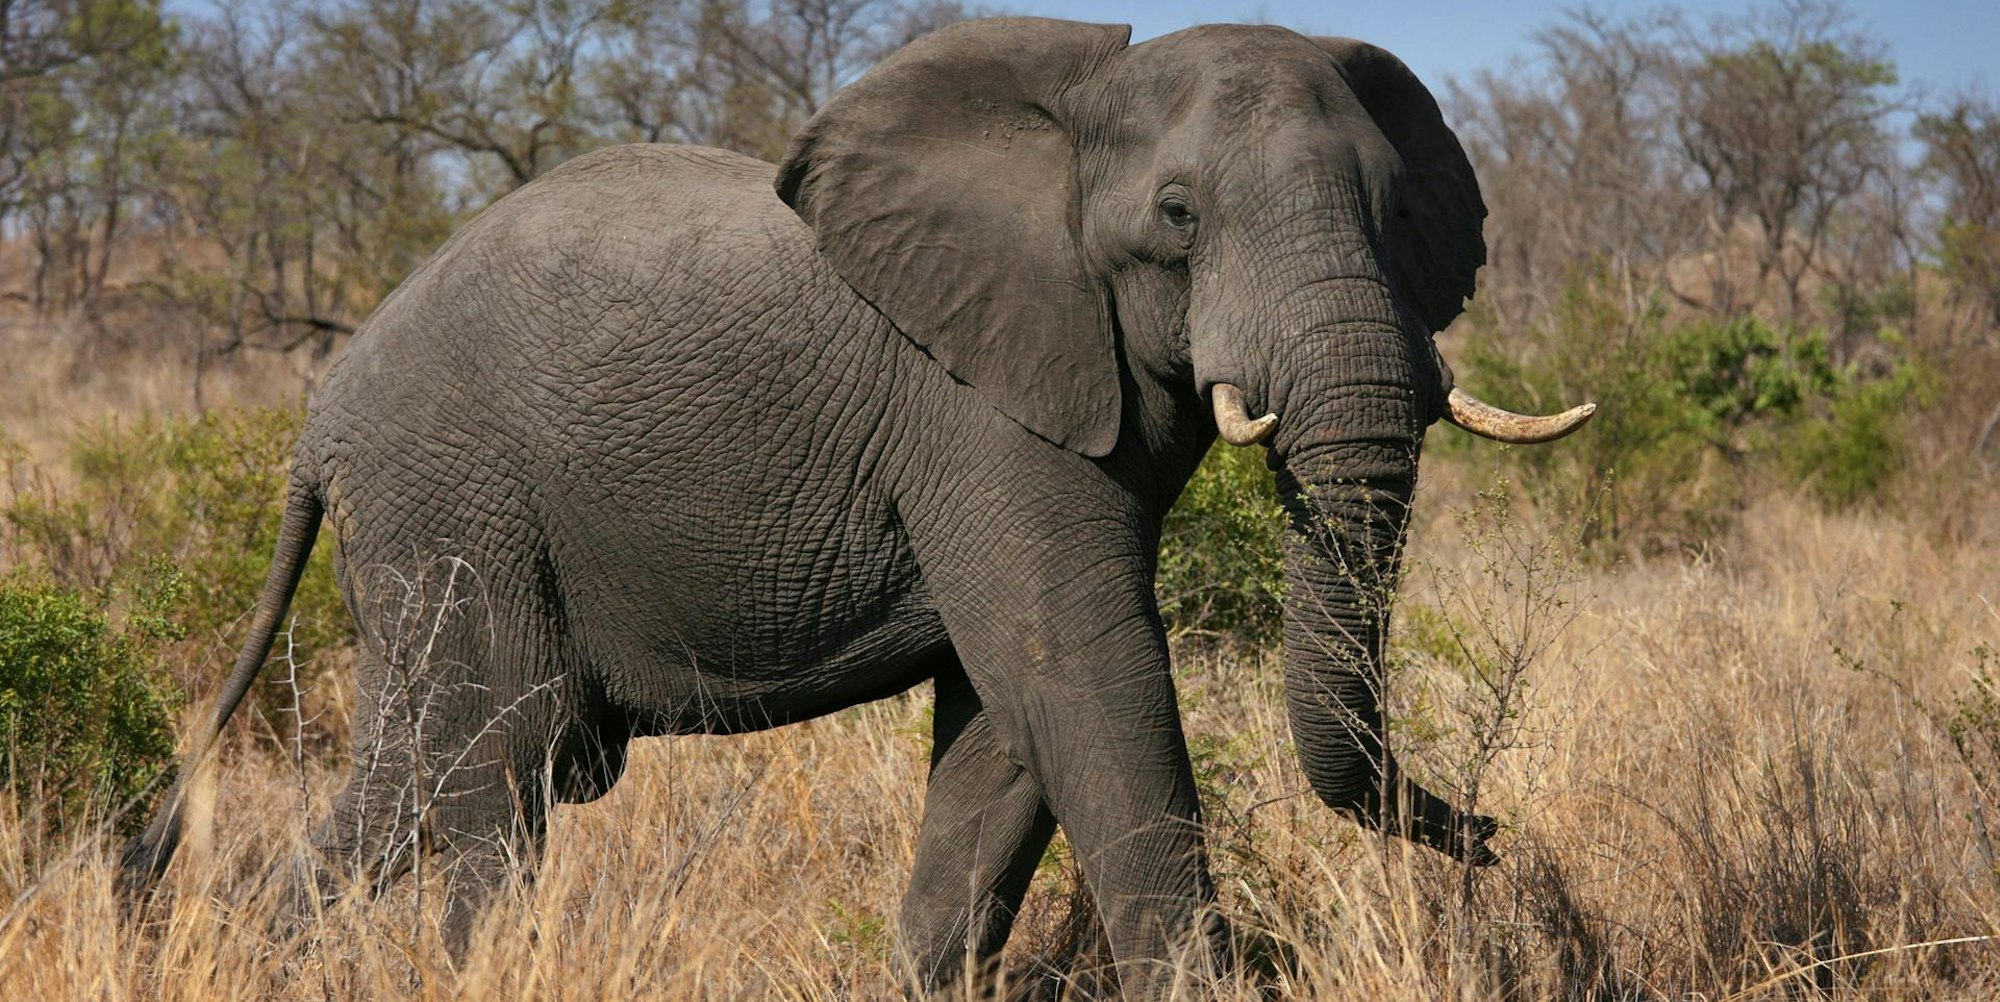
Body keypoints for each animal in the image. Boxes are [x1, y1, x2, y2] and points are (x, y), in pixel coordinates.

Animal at [120, 16, 1593, 996]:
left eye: (1398, 213)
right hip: (458, 503)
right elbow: (1080, 666)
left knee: (404, 775)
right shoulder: (974, 401)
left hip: (429, 528)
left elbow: (1005, 725)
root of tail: (317, 421)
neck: (1073, 102)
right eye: (1178, 216)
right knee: (501, 764)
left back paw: (249, 954)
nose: (1485, 832)